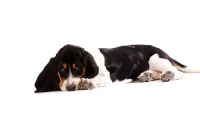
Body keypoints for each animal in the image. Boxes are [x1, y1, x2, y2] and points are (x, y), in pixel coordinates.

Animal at [34, 43, 200, 92]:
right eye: (61, 69)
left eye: (77, 68)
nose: (69, 88)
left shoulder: (105, 77)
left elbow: (95, 79)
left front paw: (86, 83)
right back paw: (147, 76)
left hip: (156, 58)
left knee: (177, 72)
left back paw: (167, 75)